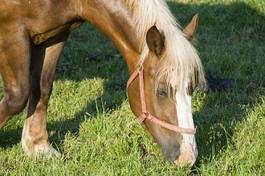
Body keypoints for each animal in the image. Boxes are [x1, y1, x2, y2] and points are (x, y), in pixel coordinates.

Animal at [0, 0, 204, 166]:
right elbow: (17, 98)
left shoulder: (55, 35)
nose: (187, 158)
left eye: (192, 88)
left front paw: (38, 146)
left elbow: (42, 88)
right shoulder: (12, 33)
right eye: (161, 91)